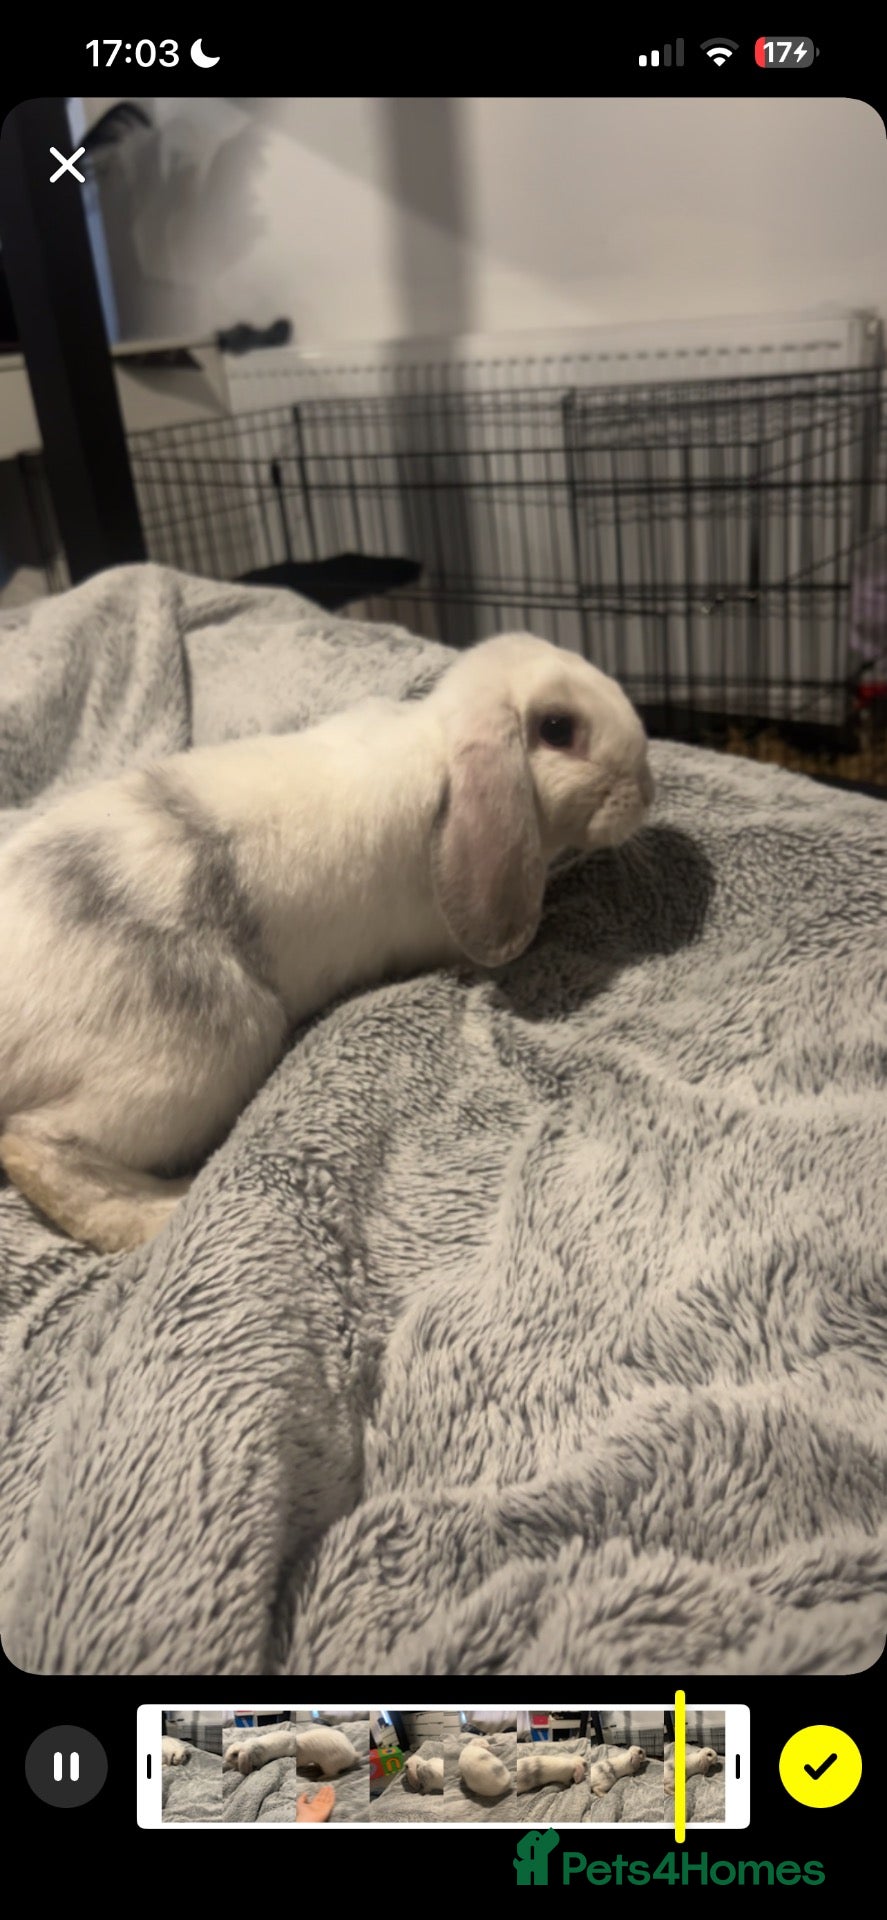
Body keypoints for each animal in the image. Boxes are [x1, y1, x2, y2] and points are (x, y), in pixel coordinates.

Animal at [0, 630, 653, 1254]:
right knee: (37, 1148)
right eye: (557, 729)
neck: (439, 744)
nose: (646, 791)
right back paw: (168, 1209)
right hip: (203, 1049)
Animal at [223, 1724, 359, 1778]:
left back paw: (320, 1777)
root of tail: (353, 1754)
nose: (226, 1760)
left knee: (331, 1773)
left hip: (329, 1765)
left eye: (234, 1755)